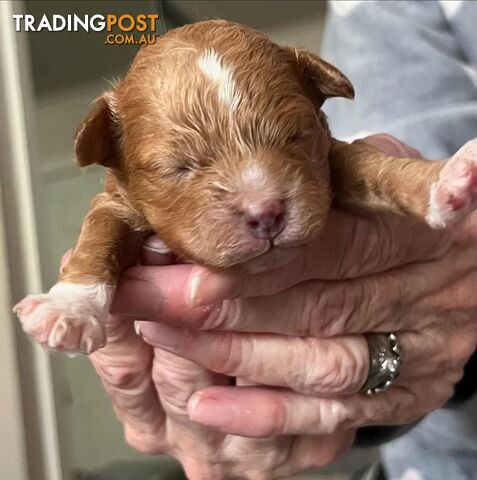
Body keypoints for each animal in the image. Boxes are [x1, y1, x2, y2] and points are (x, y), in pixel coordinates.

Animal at [13, 20, 476, 354]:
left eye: (294, 136)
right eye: (177, 167)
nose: (265, 212)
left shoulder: (329, 162)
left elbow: (371, 165)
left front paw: (445, 179)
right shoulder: (116, 203)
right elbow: (101, 235)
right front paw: (68, 309)